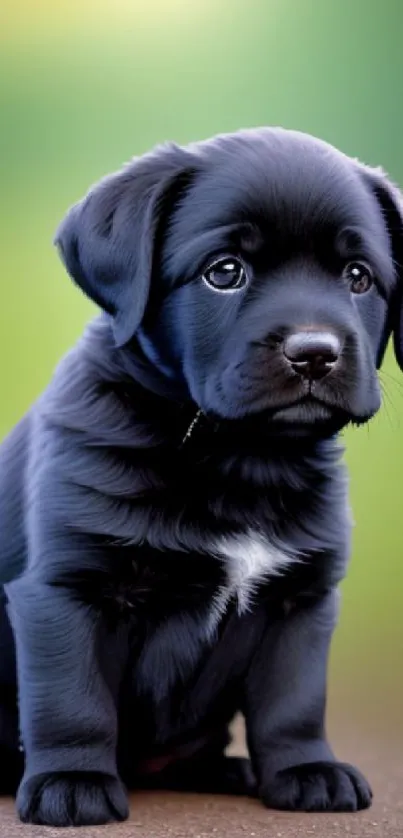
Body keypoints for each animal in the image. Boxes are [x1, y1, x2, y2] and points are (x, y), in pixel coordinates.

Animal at [0, 128, 403, 832]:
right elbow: (70, 699)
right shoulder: (65, 589)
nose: (315, 353)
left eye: (358, 277)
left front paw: (306, 769)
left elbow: (295, 700)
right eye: (224, 271)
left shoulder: (302, 600)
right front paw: (72, 781)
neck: (239, 459)